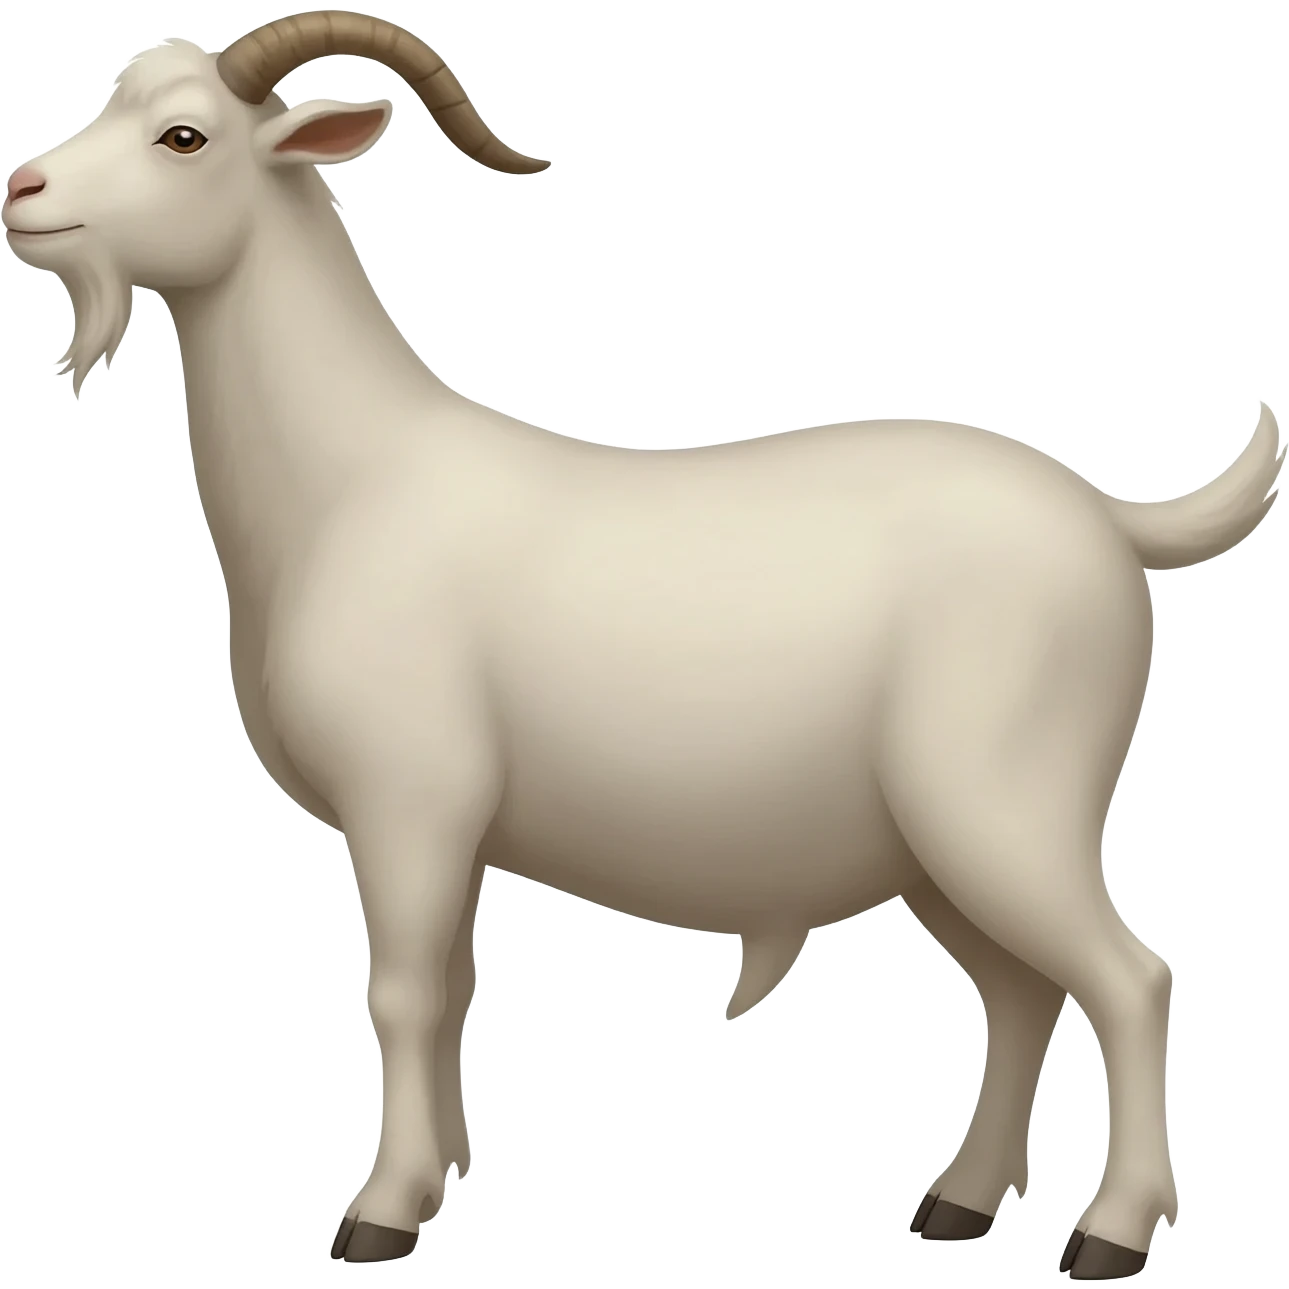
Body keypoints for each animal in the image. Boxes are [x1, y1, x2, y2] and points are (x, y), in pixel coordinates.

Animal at [3, 10, 1282, 1274]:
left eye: (183, 136)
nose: (23, 190)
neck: (353, 481)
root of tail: (1109, 517)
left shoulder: (407, 799)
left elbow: (402, 992)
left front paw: (381, 1210)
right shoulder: (455, 827)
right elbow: (453, 990)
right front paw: (443, 1177)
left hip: (1007, 798)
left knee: (1127, 977)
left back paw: (1109, 1229)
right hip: (935, 841)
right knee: (1020, 993)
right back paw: (957, 1201)